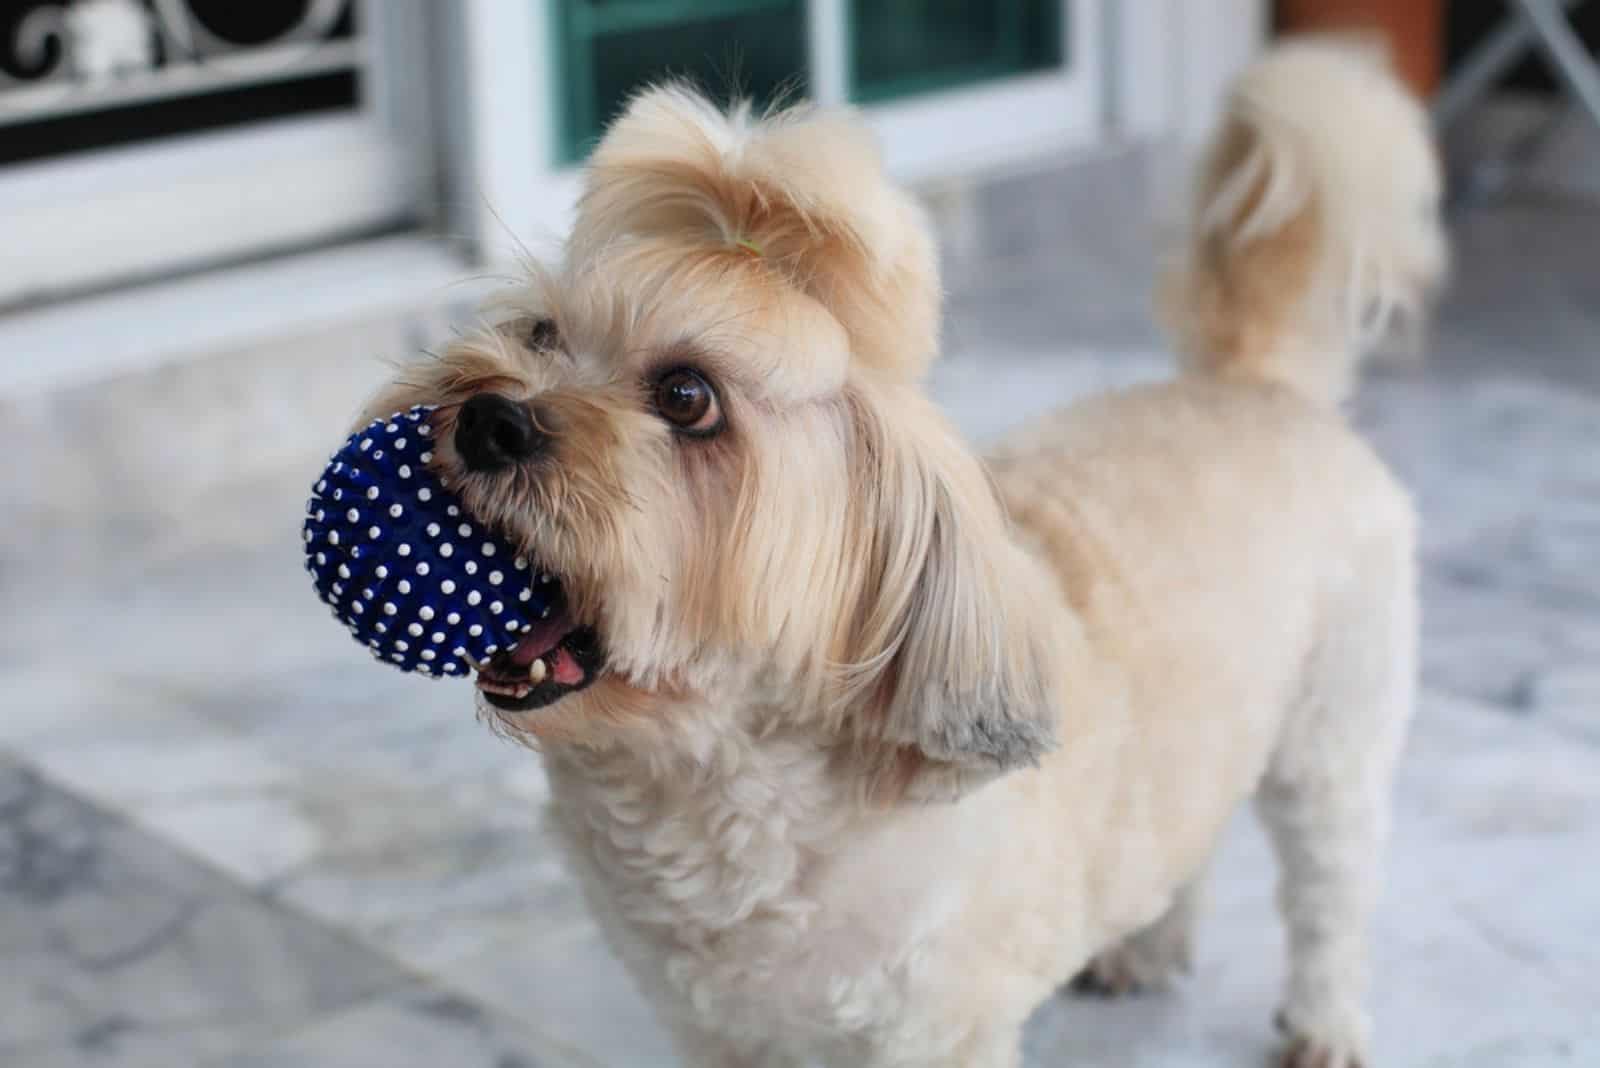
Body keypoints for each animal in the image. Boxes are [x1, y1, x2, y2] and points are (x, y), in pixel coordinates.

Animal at [366, 37, 1452, 1061]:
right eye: (540, 334)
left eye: (687, 397)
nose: (491, 421)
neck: (723, 783)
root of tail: (1253, 383)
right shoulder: (717, 1030)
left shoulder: (932, 1032)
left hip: (1332, 743)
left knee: (1329, 898)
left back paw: (1325, 1023)